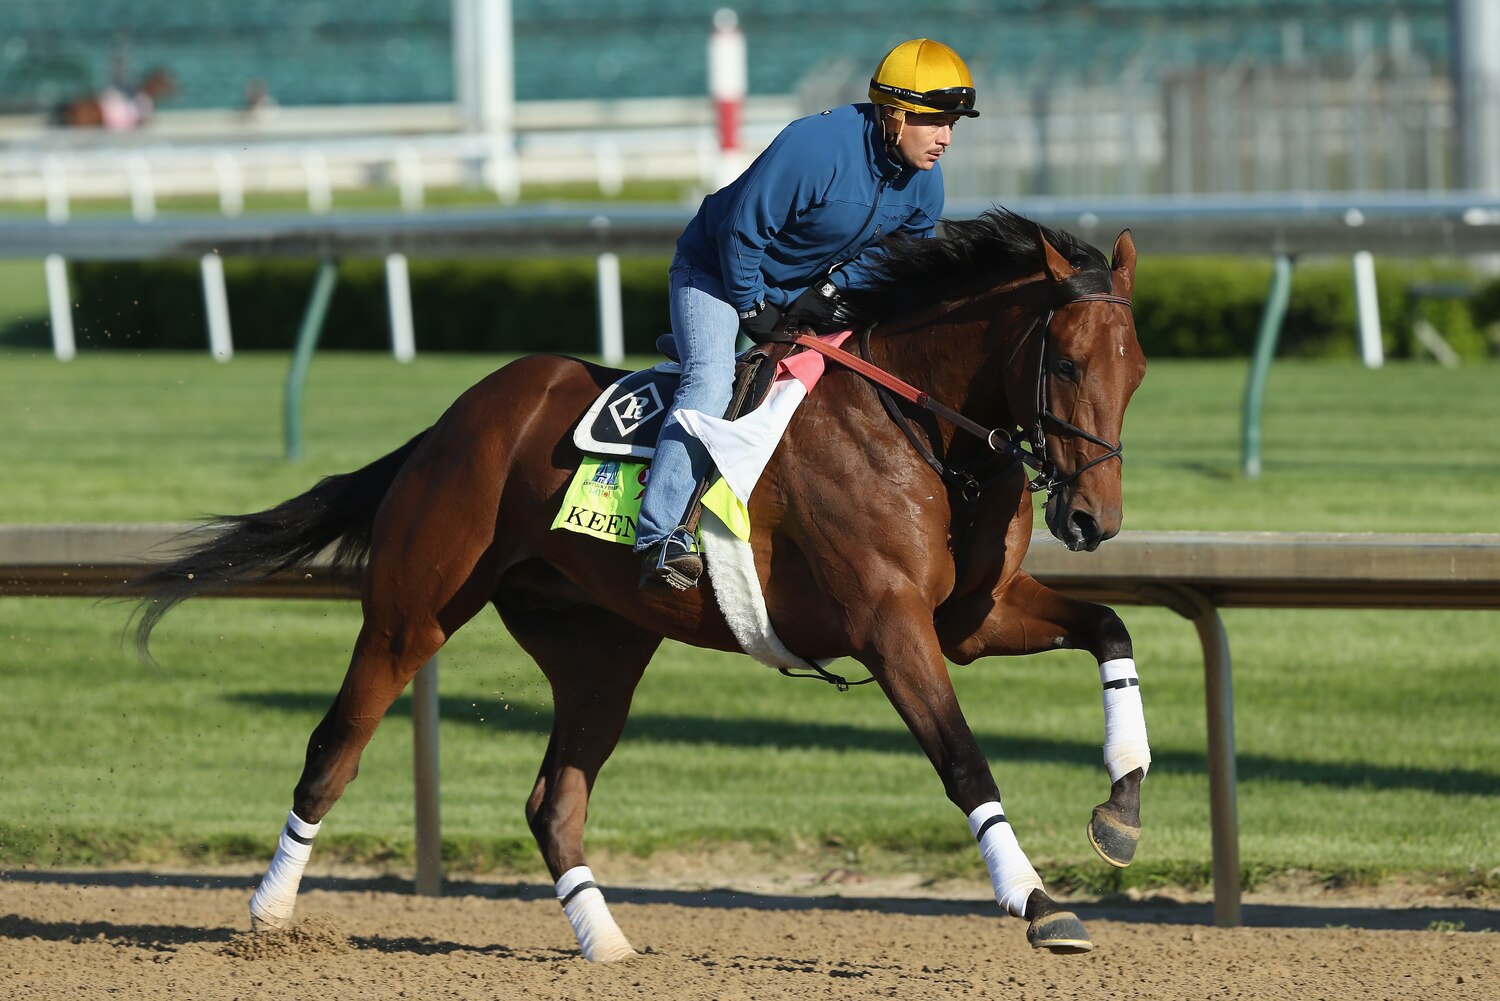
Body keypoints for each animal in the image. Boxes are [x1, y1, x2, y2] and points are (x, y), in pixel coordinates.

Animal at [132, 208, 1149, 960]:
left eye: (1136, 371)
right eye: (1065, 363)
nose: (1091, 520)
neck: (921, 428)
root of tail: (454, 418)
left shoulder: (971, 617)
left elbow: (1110, 628)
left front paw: (1121, 810)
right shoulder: (889, 623)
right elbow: (964, 759)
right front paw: (1039, 902)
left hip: (600, 649)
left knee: (554, 801)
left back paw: (607, 942)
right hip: (411, 610)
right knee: (335, 746)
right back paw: (268, 915)